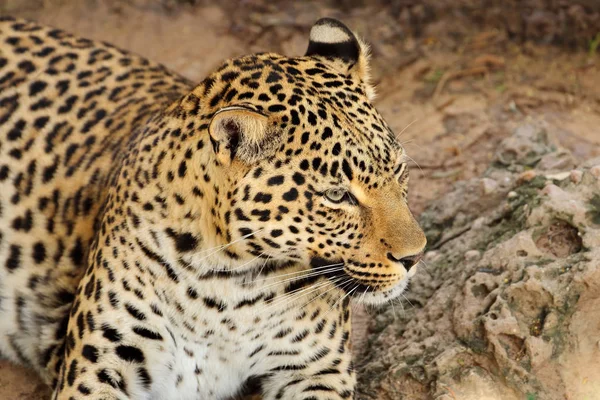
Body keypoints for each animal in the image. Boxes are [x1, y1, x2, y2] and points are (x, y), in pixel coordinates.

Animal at [0, 14, 426, 396]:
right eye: (337, 196)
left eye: (398, 169)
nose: (414, 257)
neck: (228, 283)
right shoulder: (98, 366)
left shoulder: (317, 368)